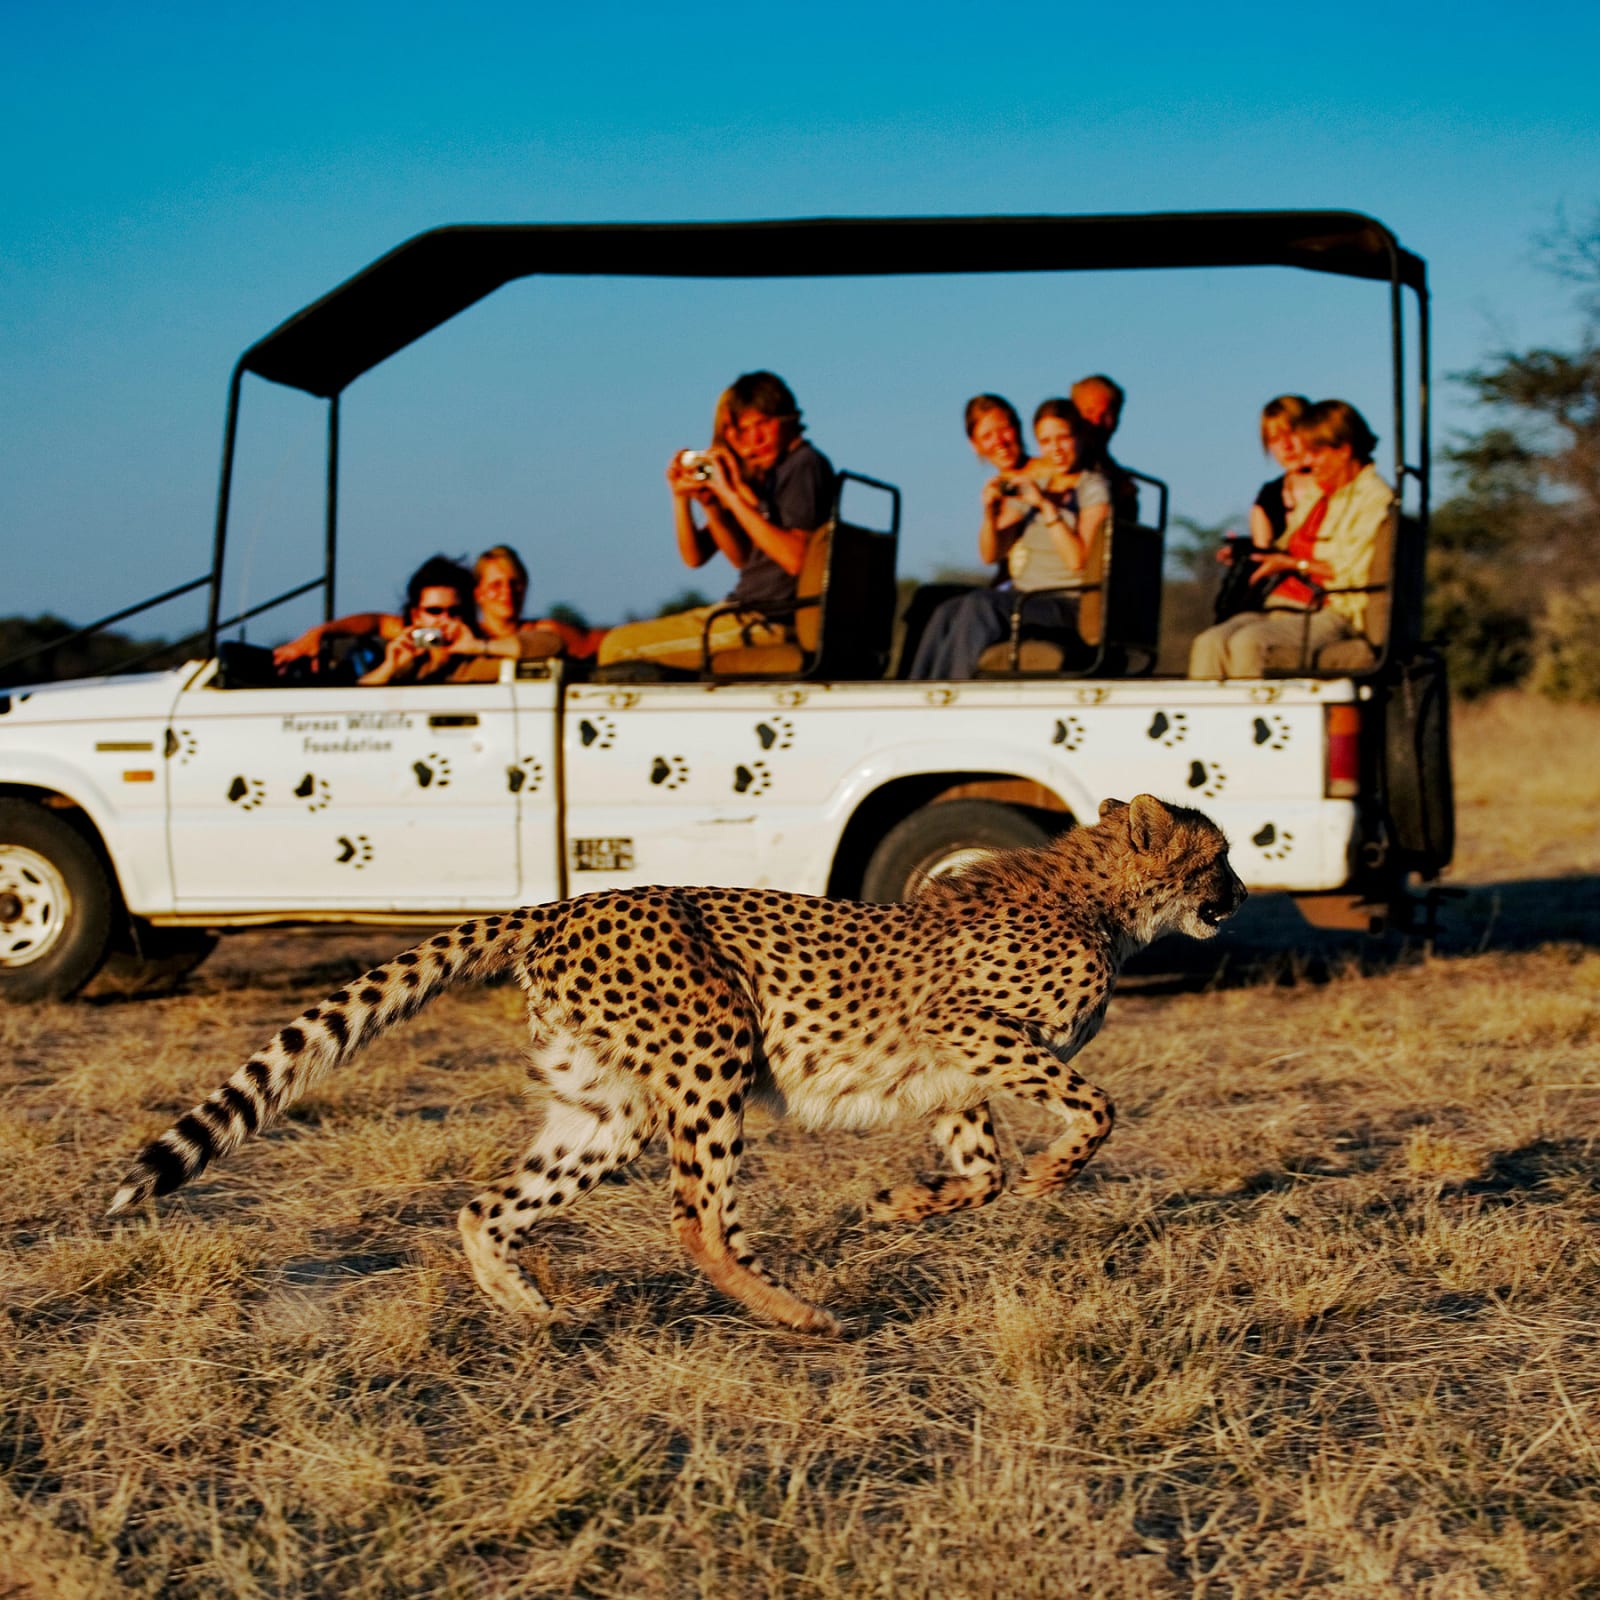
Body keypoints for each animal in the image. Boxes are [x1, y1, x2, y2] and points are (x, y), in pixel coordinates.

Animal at [109, 794, 1245, 1334]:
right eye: (1218, 854)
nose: (1238, 893)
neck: (1103, 896)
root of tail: (565, 900)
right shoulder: (969, 1026)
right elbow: (1094, 1110)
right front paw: (1056, 1171)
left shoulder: (956, 1075)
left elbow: (980, 1172)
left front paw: (894, 1203)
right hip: (715, 1049)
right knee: (697, 1219)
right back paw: (803, 1316)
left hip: (605, 1112)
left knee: (485, 1206)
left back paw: (531, 1308)